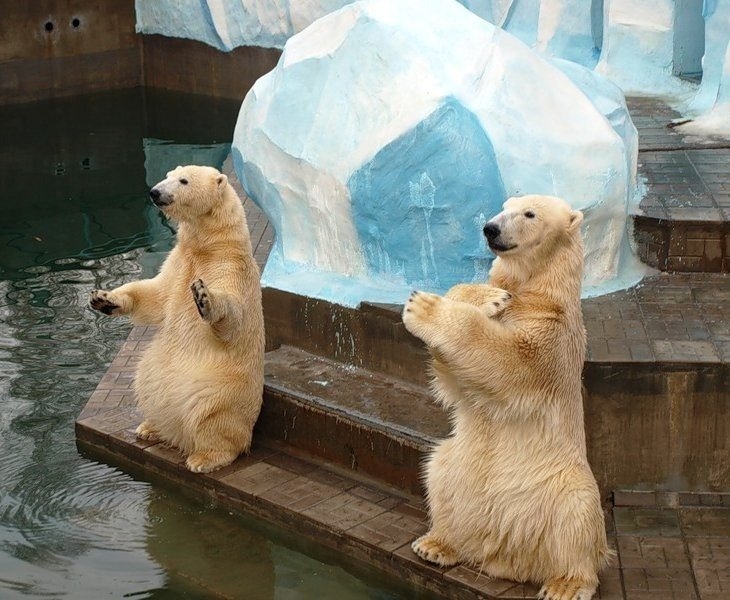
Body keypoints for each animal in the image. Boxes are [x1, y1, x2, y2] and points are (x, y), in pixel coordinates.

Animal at [88, 164, 264, 474]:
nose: (155, 192)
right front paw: (104, 299)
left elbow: (233, 317)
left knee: (213, 418)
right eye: (168, 175)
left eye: (183, 181)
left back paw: (203, 457)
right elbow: (155, 295)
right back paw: (150, 428)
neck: (209, 247)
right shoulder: (179, 261)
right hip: (151, 377)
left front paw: (204, 298)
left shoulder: (231, 268)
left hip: (223, 390)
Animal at [400, 195, 612, 596]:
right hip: (459, 465)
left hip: (562, 484)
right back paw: (437, 544)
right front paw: (489, 297)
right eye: (504, 205)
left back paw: (565, 584)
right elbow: (454, 379)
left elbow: (510, 362)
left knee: (577, 516)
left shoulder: (553, 336)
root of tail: (507, 558)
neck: (536, 291)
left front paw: (423, 306)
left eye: (529, 213)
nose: (491, 228)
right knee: (437, 469)